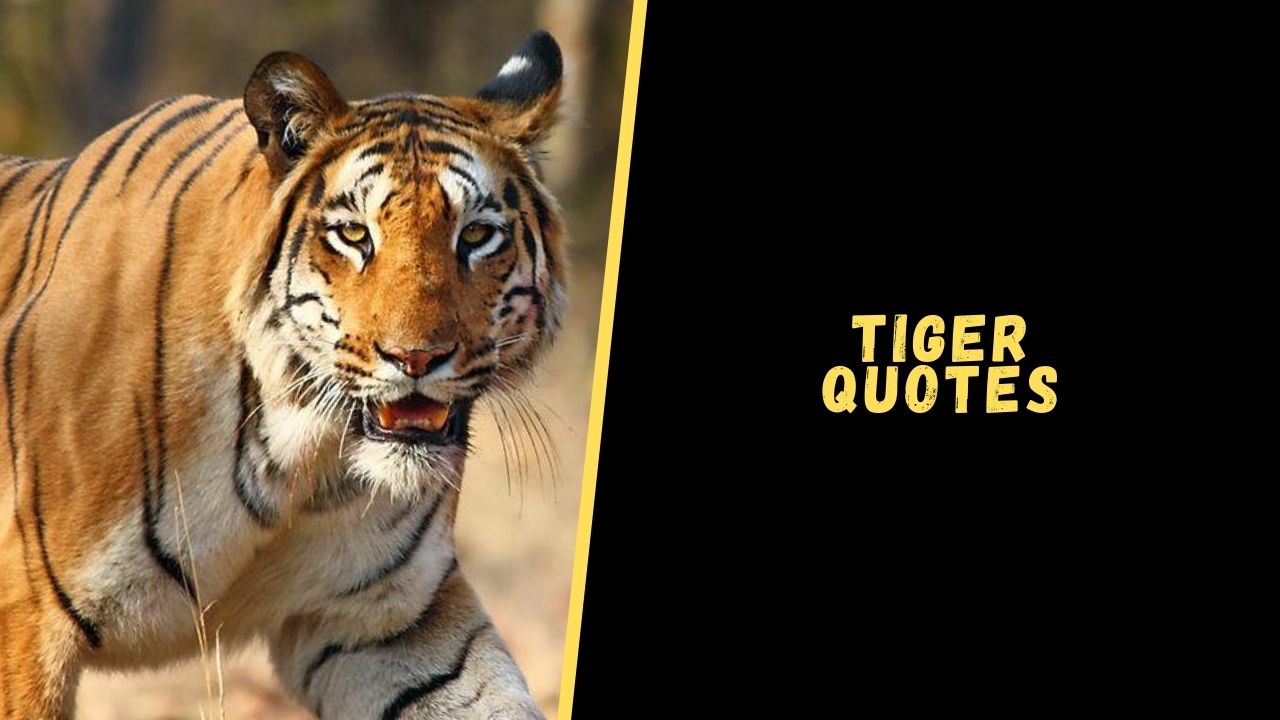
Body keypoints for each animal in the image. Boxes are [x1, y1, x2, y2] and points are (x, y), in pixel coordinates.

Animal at [0, 29, 566, 720]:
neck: (300, 455)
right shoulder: (25, 616)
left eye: (478, 235)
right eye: (354, 234)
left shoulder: (386, 621)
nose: (416, 358)